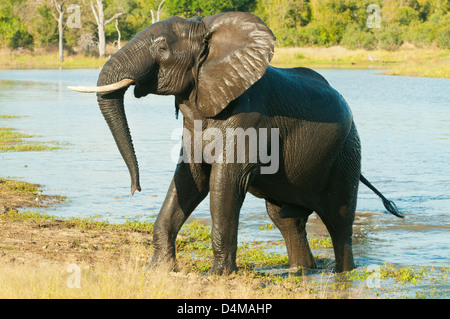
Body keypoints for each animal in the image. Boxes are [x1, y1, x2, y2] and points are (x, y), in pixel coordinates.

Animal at [69, 10, 404, 276]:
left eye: (162, 48)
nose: (135, 188)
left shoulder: (249, 117)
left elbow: (224, 181)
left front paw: (216, 276)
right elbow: (190, 179)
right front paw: (158, 270)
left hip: (347, 152)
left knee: (339, 220)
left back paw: (342, 273)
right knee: (286, 220)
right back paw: (301, 271)